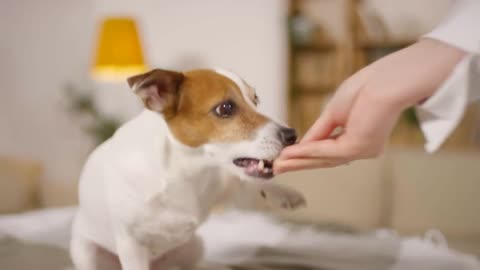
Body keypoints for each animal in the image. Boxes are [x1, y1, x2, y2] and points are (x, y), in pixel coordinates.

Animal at [69, 68, 306, 270]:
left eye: (256, 99)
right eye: (225, 108)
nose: (292, 135)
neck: (184, 170)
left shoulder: (221, 180)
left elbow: (244, 181)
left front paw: (284, 193)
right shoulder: (131, 246)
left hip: (194, 247)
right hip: (86, 252)